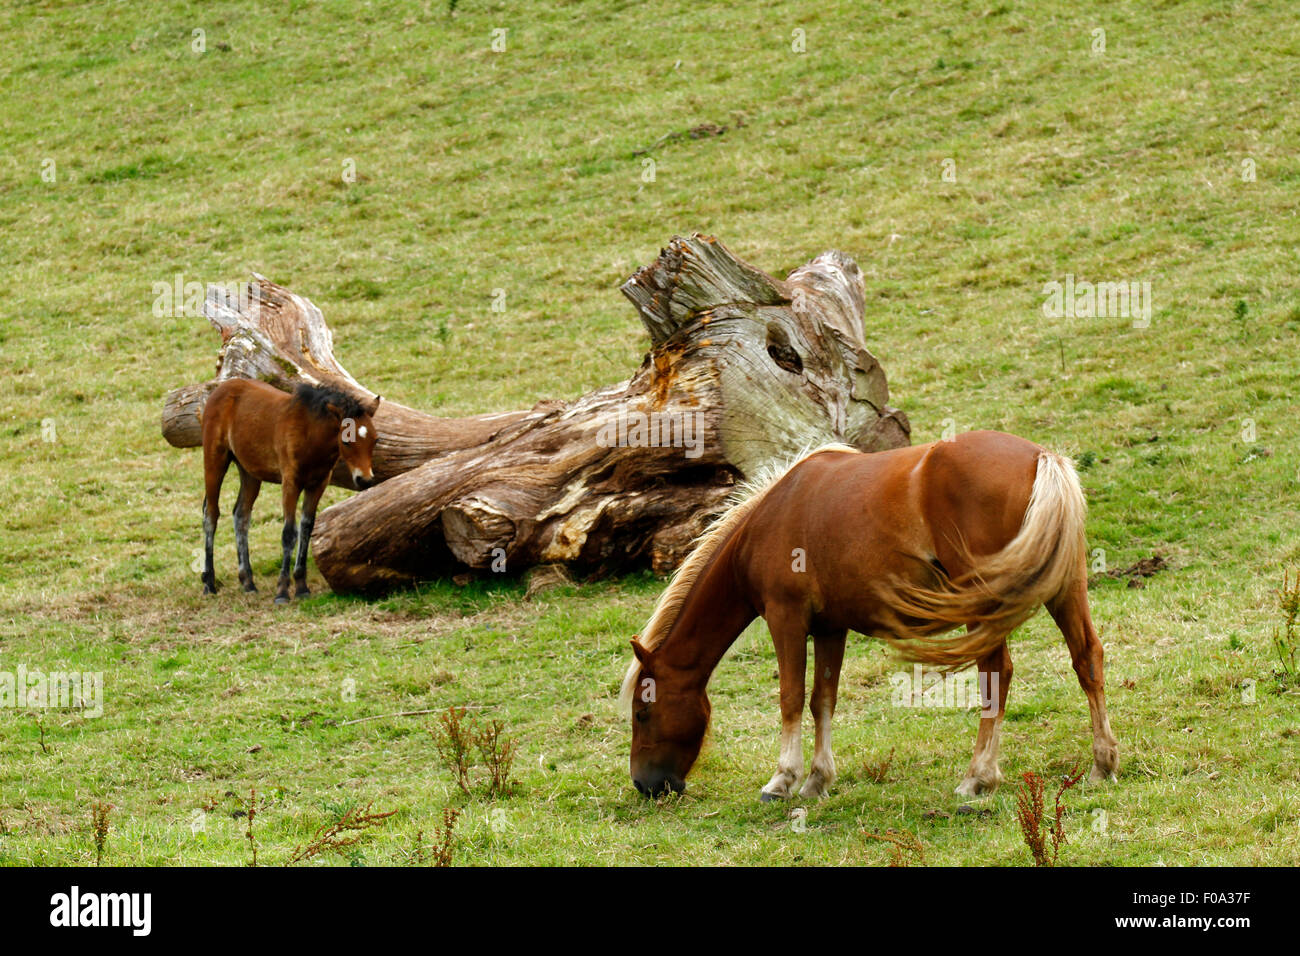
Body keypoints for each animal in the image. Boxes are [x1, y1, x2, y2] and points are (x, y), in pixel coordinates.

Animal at [199, 380, 380, 604]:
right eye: (346, 441)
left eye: (375, 440)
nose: (365, 480)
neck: (310, 433)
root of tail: (222, 388)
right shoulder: (290, 483)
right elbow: (289, 533)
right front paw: (282, 591)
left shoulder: (317, 484)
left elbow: (306, 528)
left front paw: (301, 587)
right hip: (215, 460)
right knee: (211, 514)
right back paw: (209, 583)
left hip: (249, 472)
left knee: (241, 515)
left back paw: (248, 582)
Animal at [620, 430, 1119, 801]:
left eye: (643, 712)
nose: (645, 785)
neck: (772, 517)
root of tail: (1041, 457)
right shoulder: (829, 627)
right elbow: (822, 699)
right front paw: (817, 780)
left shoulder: (786, 618)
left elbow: (790, 697)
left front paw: (782, 780)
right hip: (1065, 589)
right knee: (1086, 659)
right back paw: (1103, 764)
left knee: (996, 672)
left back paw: (977, 778)